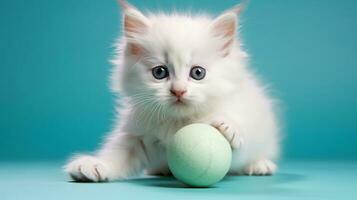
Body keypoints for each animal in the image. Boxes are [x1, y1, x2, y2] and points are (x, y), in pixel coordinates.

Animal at [65, 0, 280, 181]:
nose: (178, 91)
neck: (177, 122)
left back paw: (260, 165)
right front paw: (94, 165)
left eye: (198, 73)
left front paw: (227, 126)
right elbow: (116, 155)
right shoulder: (136, 136)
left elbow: (237, 142)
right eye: (160, 72)